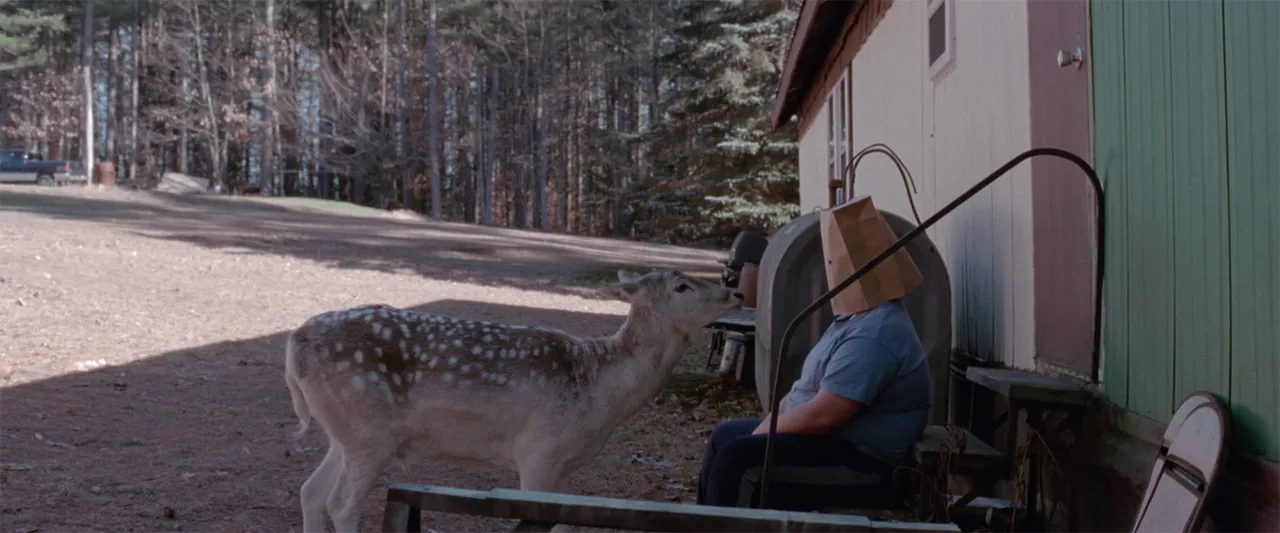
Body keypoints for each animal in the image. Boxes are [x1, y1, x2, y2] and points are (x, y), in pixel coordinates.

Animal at [283, 269, 745, 533]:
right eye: (681, 285)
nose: (736, 294)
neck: (601, 388)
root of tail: (294, 343)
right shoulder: (539, 451)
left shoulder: (565, 464)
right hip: (369, 430)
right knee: (340, 504)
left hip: (346, 432)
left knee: (310, 492)